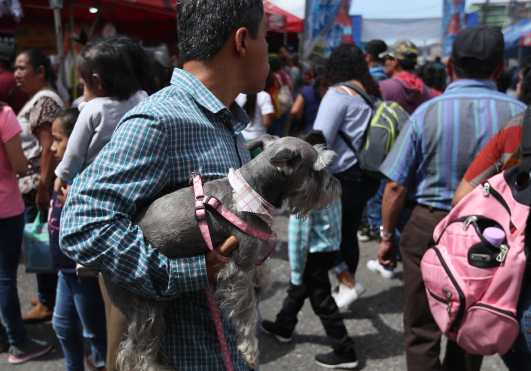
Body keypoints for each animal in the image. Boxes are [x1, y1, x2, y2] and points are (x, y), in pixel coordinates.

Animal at [105, 137, 340, 371]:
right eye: (317, 169)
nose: (337, 186)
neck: (253, 191)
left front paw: (264, 278)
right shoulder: (239, 270)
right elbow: (247, 311)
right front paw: (249, 351)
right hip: (144, 309)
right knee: (135, 351)